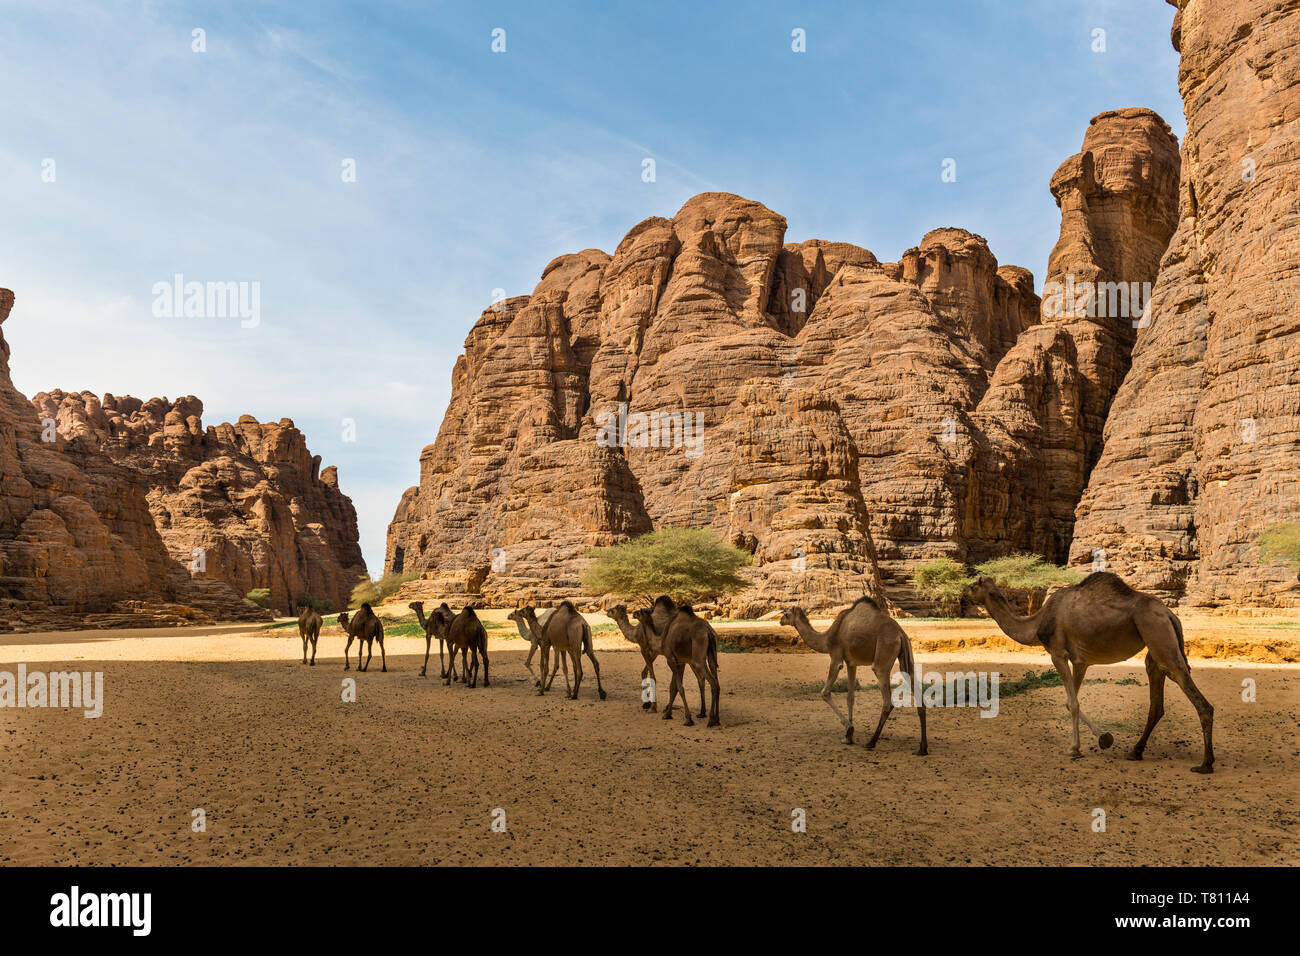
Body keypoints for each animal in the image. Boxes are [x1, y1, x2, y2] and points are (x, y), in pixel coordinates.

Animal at [780, 598, 925, 754]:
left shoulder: (836, 656)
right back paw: (923, 748)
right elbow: (850, 698)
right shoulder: (851, 663)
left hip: (883, 655)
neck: (826, 638)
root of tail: (900, 633)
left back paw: (871, 742)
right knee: (917, 691)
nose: (781, 620)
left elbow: (825, 692)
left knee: (887, 701)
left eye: (787, 613)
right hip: (906, 658)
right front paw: (848, 737)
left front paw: (848, 729)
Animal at [961, 572, 1211, 775]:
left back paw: (1205, 764)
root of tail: (1170, 615)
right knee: (1156, 695)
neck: (1037, 622)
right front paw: (1104, 738)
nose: (963, 590)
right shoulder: (1080, 661)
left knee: (1196, 697)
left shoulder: (1057, 653)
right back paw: (1135, 752)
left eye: (974, 585)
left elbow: (1072, 703)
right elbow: (1070, 701)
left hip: (1157, 633)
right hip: (1156, 644)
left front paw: (1074, 749)